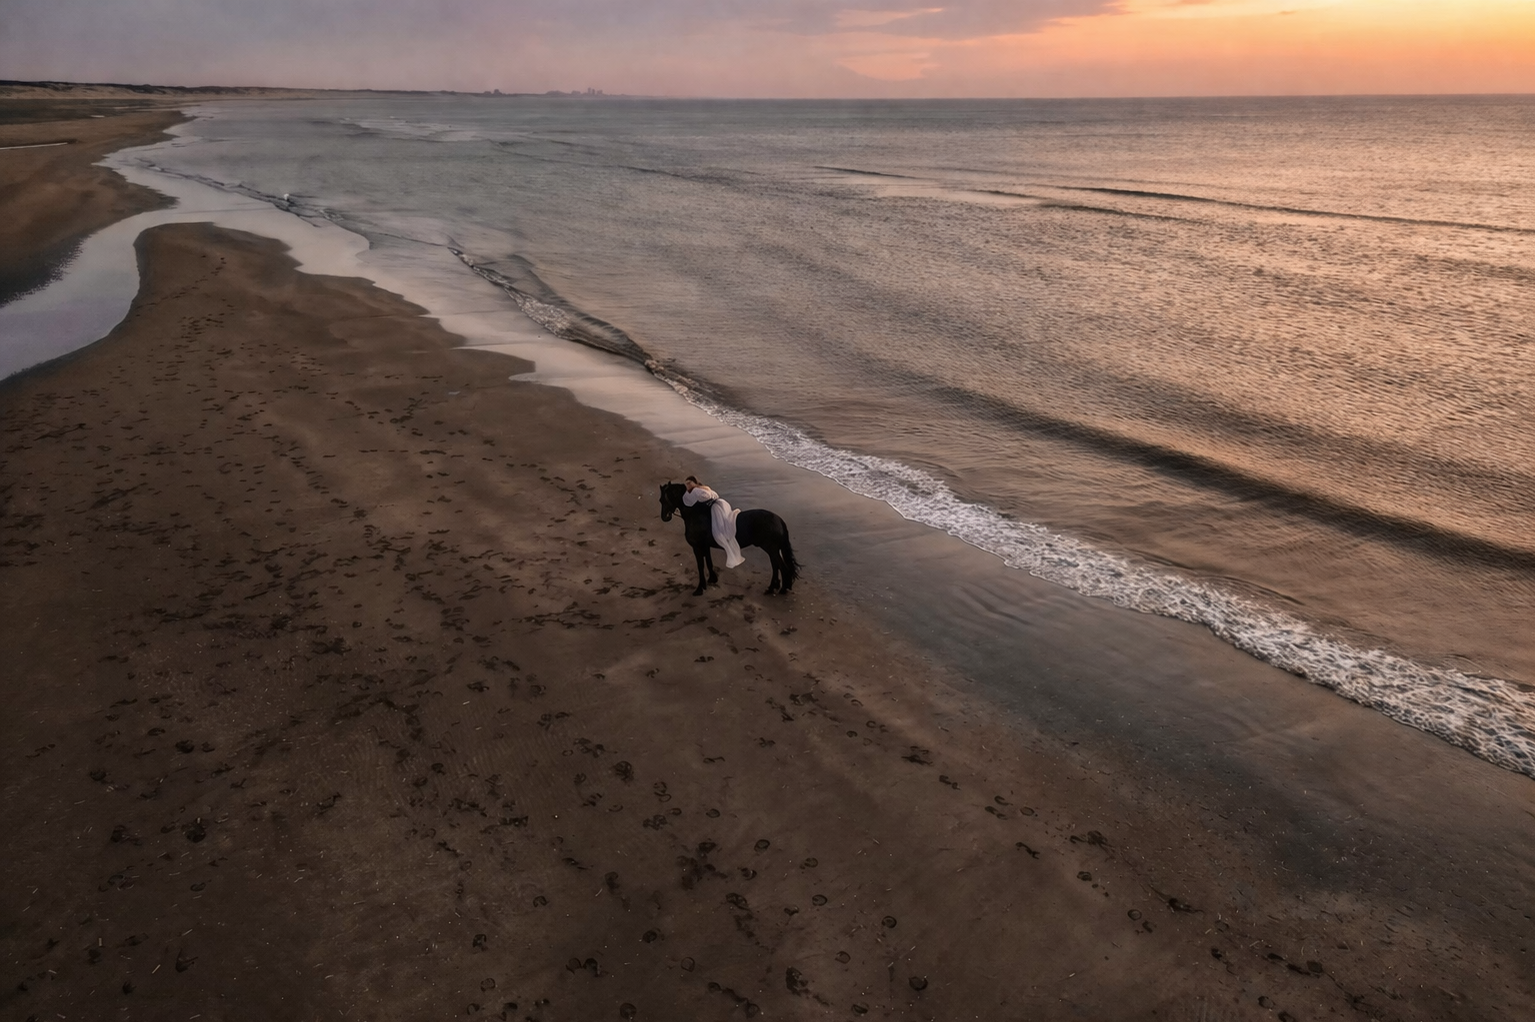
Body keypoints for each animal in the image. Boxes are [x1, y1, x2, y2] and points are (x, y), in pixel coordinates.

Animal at [659, 482, 798, 597]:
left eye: (662, 500)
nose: (665, 517)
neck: (696, 514)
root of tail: (779, 519)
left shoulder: (697, 547)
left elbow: (700, 565)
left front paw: (700, 588)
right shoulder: (705, 546)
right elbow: (708, 562)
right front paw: (712, 579)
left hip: (771, 549)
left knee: (782, 567)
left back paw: (782, 589)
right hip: (772, 549)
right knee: (775, 567)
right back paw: (772, 588)